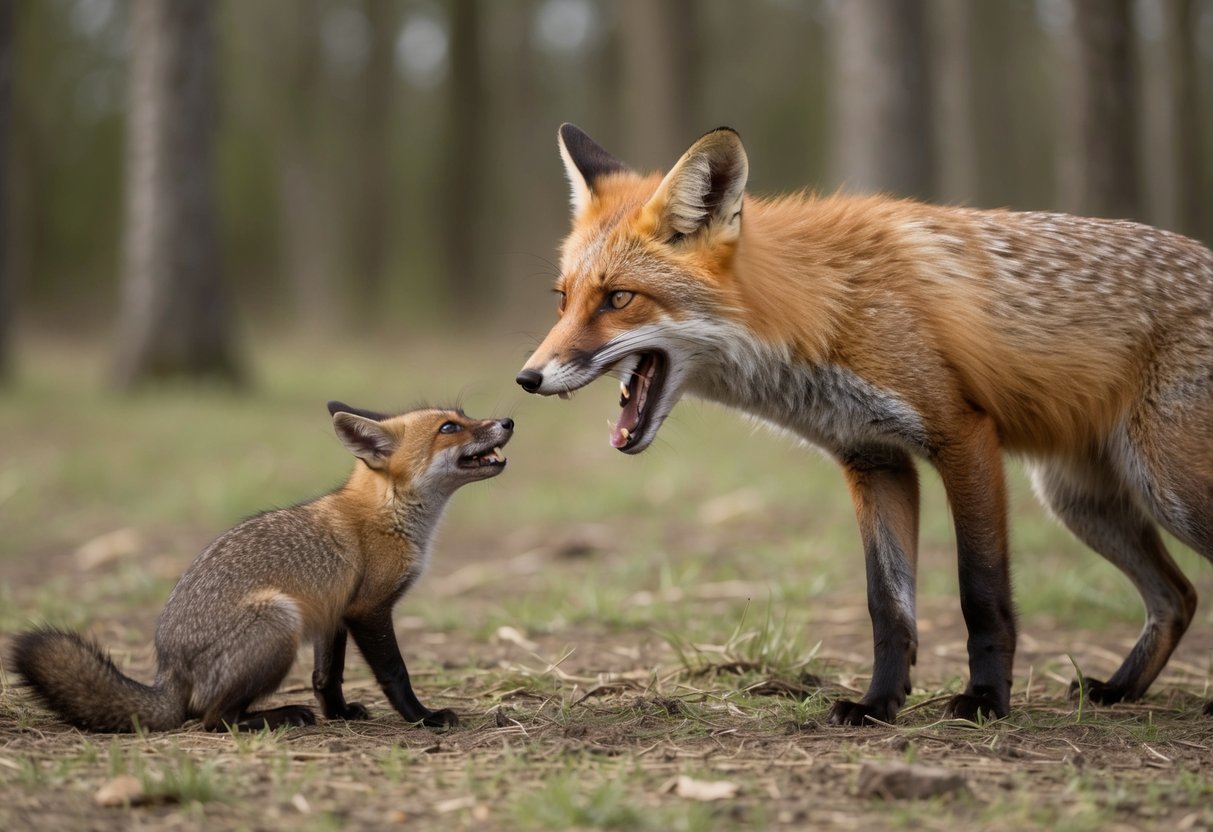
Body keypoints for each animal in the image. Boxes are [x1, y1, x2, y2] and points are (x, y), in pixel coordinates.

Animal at [10, 402, 513, 732]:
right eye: (449, 427)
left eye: (465, 415)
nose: (508, 420)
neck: (390, 515)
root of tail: (168, 670)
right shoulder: (368, 610)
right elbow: (396, 673)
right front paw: (423, 718)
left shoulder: (333, 611)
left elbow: (326, 676)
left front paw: (339, 714)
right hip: (279, 619)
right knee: (211, 719)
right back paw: (277, 717)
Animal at [516, 123, 1213, 725]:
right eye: (563, 299)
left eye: (618, 298)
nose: (527, 378)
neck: (823, 308)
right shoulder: (874, 458)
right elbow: (888, 607)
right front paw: (879, 705)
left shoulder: (963, 436)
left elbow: (980, 592)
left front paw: (986, 702)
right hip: (1082, 502)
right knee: (1178, 597)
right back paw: (1118, 690)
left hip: (1169, 490)